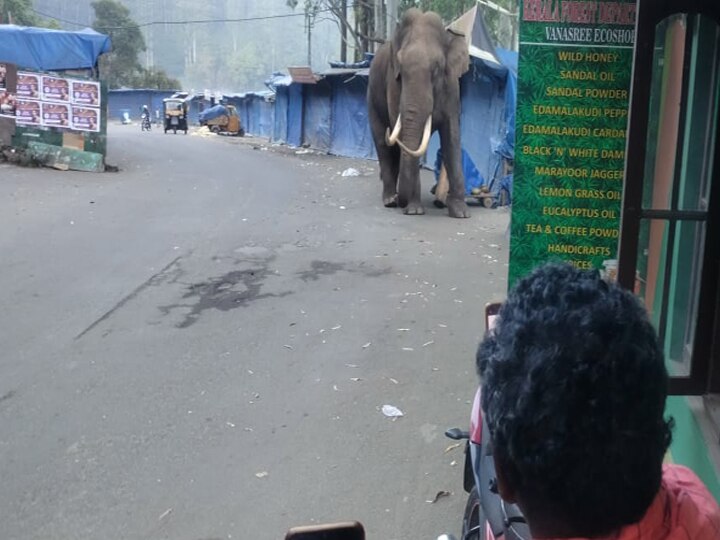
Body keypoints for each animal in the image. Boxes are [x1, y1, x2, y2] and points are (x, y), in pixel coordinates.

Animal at [368, 8, 470, 217]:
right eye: (400, 68)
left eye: (437, 68)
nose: (403, 202)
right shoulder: (392, 83)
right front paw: (414, 210)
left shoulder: (452, 87)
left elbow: (452, 136)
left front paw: (461, 213)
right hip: (371, 99)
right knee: (383, 144)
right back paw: (390, 200)